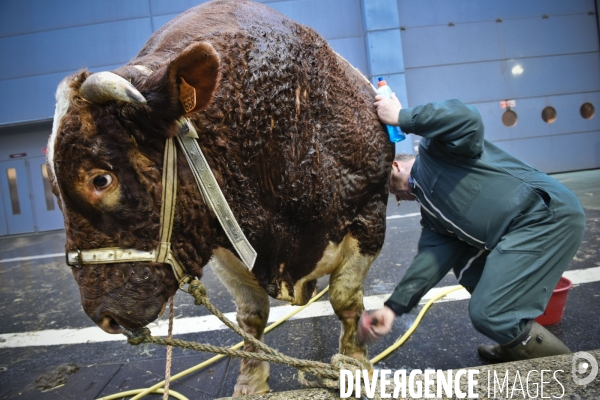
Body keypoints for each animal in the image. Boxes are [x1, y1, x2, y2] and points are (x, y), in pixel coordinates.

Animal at [48, 0, 394, 394]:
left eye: (101, 179)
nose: (101, 314)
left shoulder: (368, 215)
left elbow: (346, 301)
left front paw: (355, 369)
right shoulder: (222, 245)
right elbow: (251, 315)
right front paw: (250, 384)